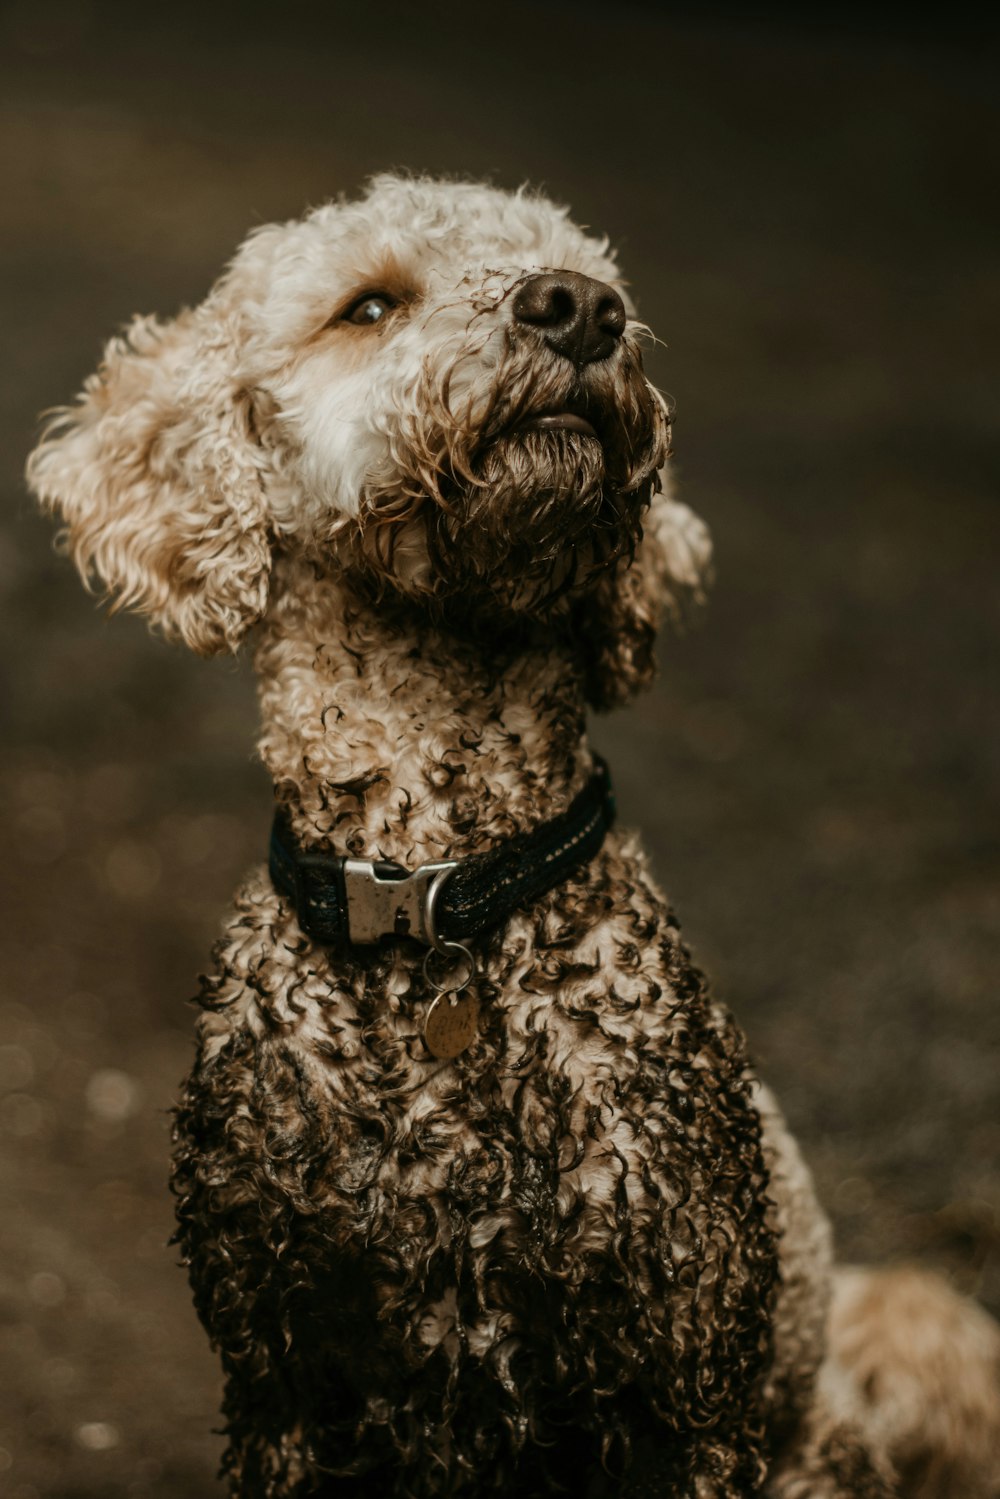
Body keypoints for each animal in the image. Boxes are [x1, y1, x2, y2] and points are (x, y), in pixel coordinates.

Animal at [29, 178, 1000, 1499]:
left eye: (592, 276)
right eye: (368, 305)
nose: (580, 308)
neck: (436, 887)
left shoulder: (687, 1383)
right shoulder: (281, 1380)